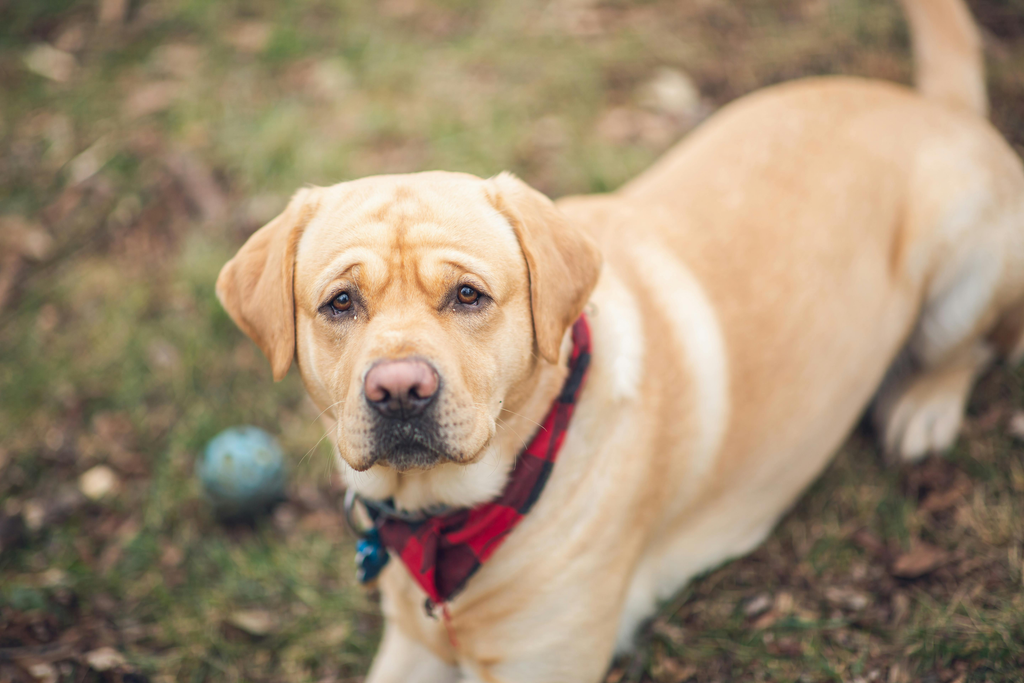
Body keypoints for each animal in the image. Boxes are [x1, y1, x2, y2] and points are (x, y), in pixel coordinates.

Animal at [216, 2, 1024, 679]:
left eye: (468, 295)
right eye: (340, 302)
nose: (398, 390)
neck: (449, 525)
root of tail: (932, 106)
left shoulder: (543, 663)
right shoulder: (410, 649)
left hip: (963, 272)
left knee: (973, 350)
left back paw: (922, 406)